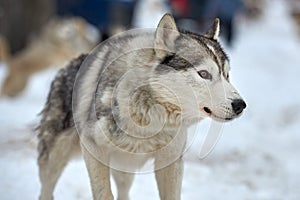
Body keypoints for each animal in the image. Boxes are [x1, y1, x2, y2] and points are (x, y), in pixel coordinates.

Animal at [37, 14, 246, 200]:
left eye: (226, 75)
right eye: (203, 74)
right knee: (45, 190)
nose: (240, 105)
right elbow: (104, 194)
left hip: (124, 168)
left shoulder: (170, 162)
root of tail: (69, 64)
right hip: (53, 160)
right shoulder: (92, 148)